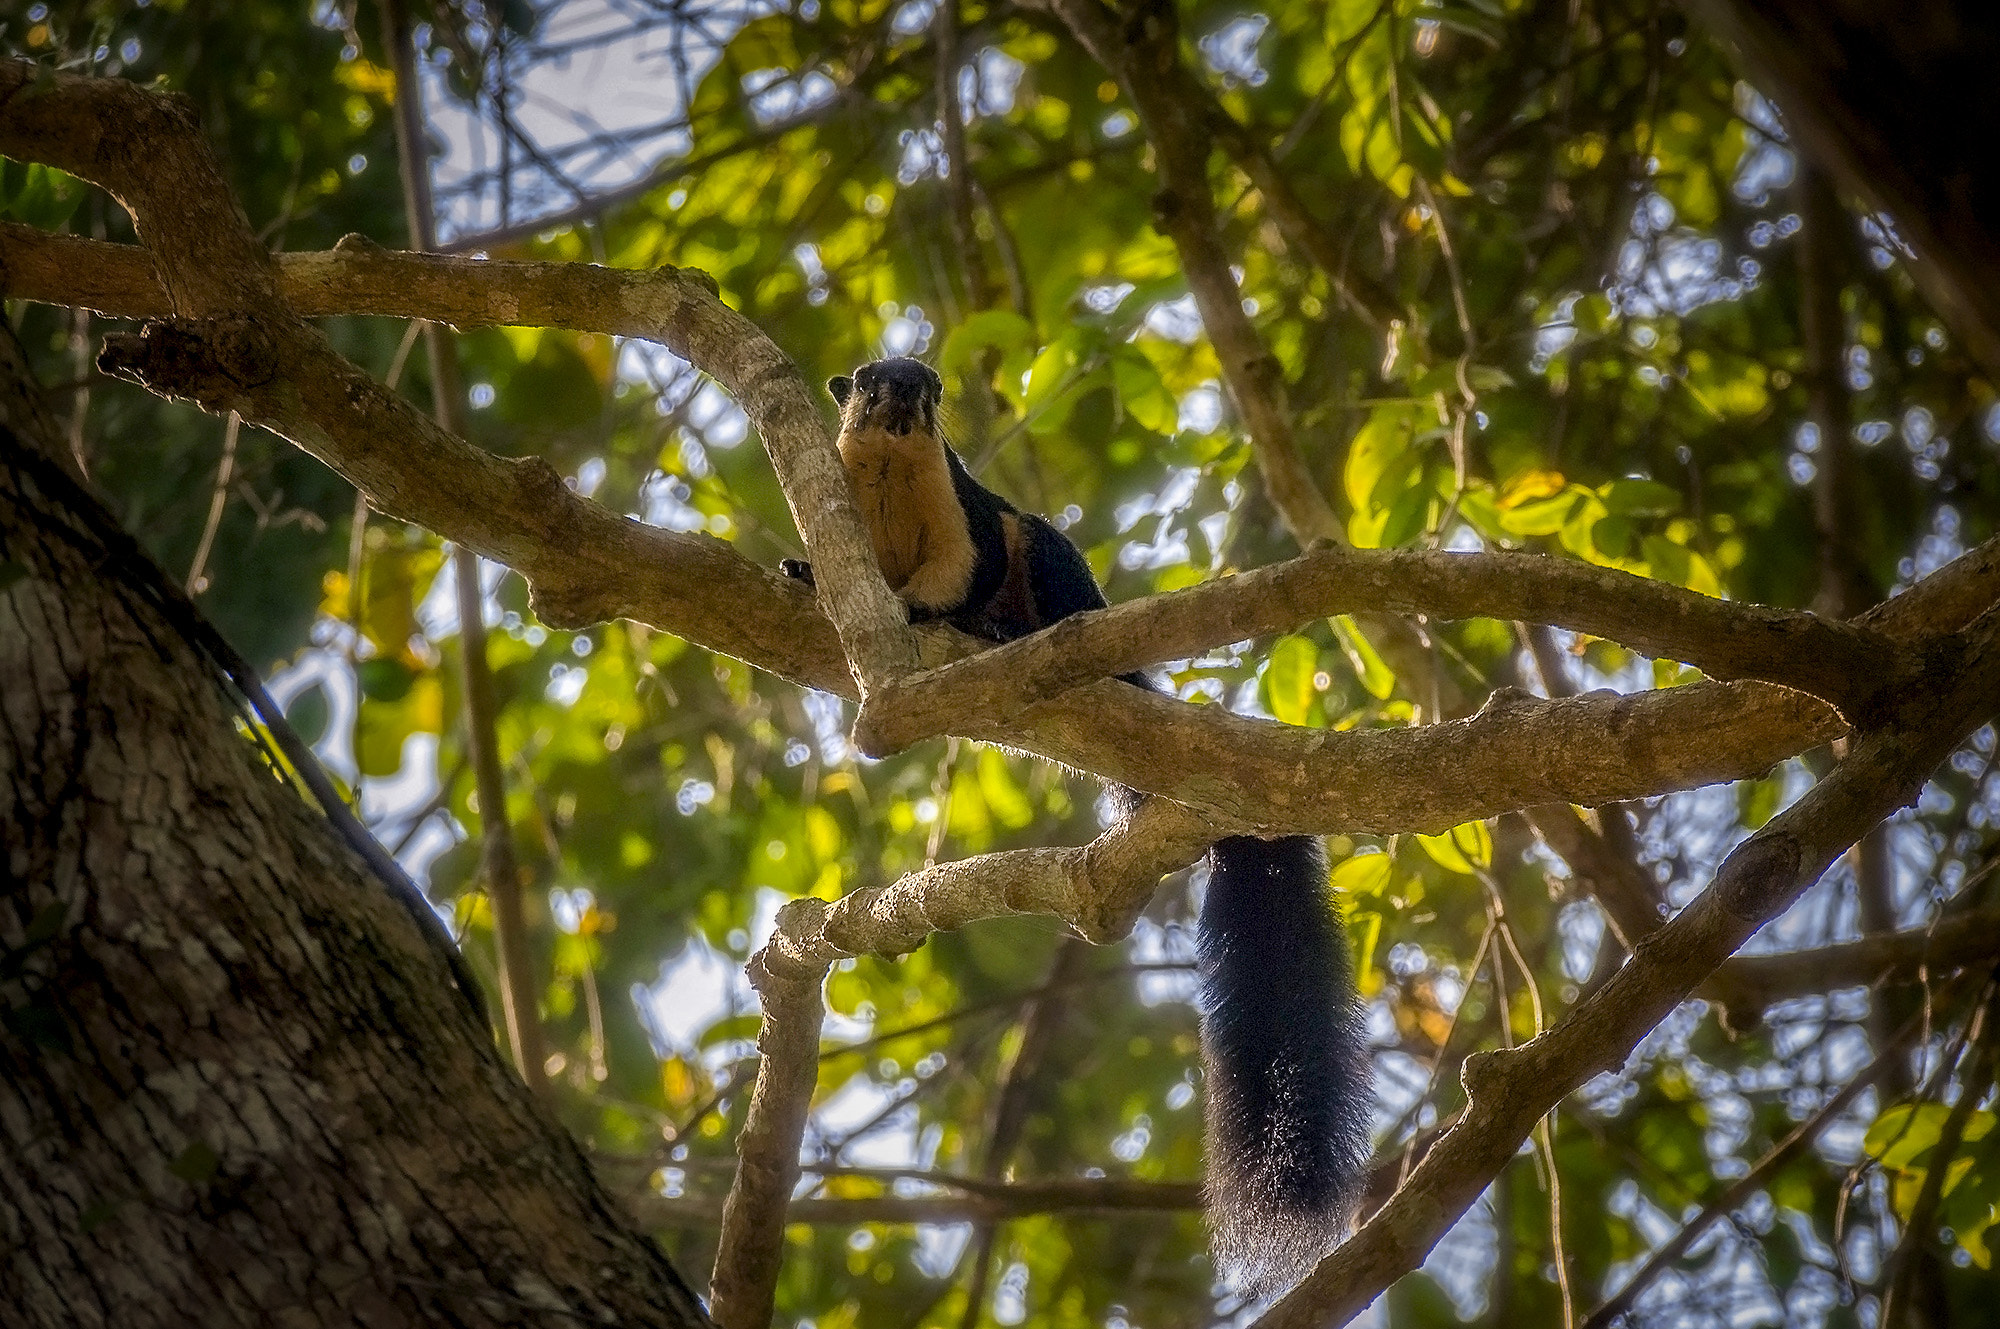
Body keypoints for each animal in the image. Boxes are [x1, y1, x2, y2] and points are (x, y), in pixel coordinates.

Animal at [782, 356, 1372, 1294]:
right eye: (873, 381)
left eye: (932, 383)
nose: (906, 392)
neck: (890, 480)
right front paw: (805, 569)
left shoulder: (967, 513)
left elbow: (962, 571)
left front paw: (929, 615)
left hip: (1051, 560)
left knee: (1038, 582)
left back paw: (1012, 629)